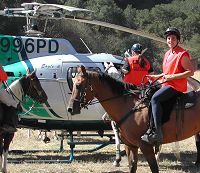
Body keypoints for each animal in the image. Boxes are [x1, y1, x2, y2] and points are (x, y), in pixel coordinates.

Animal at [68, 65, 200, 172]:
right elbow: (132, 166)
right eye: (73, 84)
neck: (130, 106)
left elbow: (154, 168)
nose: (70, 108)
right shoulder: (130, 146)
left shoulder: (146, 147)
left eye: (78, 85)